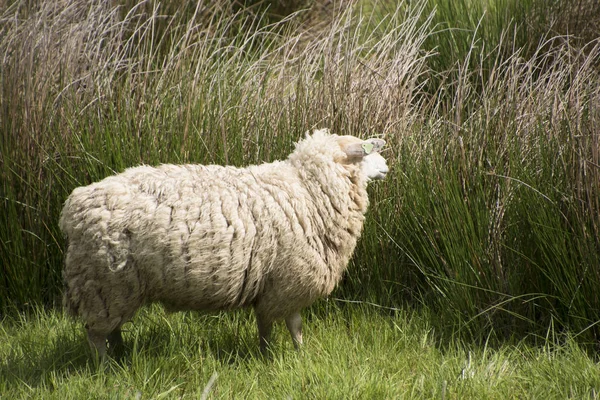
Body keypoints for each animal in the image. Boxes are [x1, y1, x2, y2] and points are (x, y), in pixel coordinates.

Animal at [59, 130, 390, 358]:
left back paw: (122, 358)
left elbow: (282, 325)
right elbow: (282, 325)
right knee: (96, 335)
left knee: (112, 330)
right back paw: (104, 368)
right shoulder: (286, 281)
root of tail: (73, 207)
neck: (309, 190)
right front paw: (280, 358)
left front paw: (290, 355)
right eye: (364, 152)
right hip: (104, 284)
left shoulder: (277, 284)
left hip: (116, 289)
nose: (387, 164)